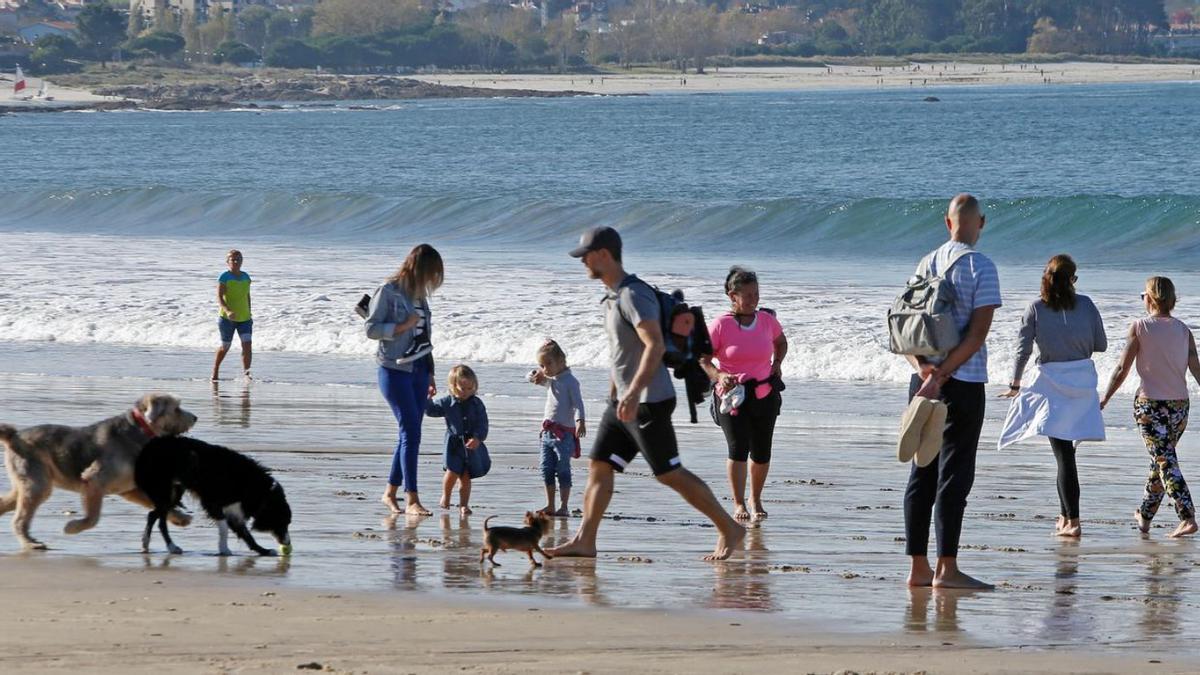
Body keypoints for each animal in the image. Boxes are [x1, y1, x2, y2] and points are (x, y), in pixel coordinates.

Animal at [135, 432, 291, 554]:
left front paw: (263, 550)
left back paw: (147, 544)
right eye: (284, 522)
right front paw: (224, 549)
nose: (288, 543)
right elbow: (224, 526)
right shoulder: (212, 502)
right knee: (159, 519)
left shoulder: (234, 509)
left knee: (154, 515)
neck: (260, 491)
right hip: (165, 490)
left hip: (175, 492)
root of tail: (149, 446)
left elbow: (245, 533)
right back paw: (171, 547)